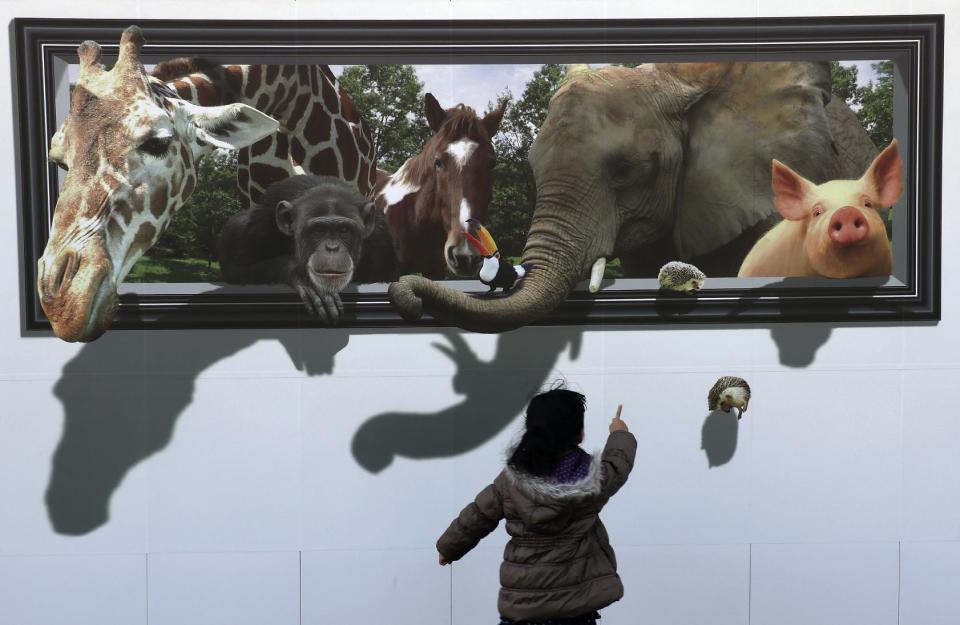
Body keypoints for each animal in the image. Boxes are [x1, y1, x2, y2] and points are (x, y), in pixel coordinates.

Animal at [218, 174, 398, 324]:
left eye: (344, 230)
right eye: (318, 230)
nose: (332, 248)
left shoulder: (381, 244)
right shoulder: (256, 229)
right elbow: (237, 270)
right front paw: (304, 277)